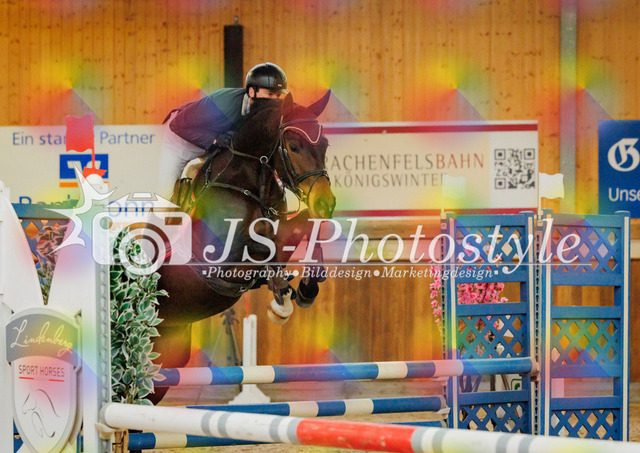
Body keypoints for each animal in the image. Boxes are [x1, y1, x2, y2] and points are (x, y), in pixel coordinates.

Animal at [150, 92, 335, 403]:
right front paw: (280, 297)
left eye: (324, 145)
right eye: (294, 146)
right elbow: (263, 247)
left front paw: (304, 290)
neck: (249, 183)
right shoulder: (219, 264)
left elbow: (306, 225)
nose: (326, 202)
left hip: (167, 349)